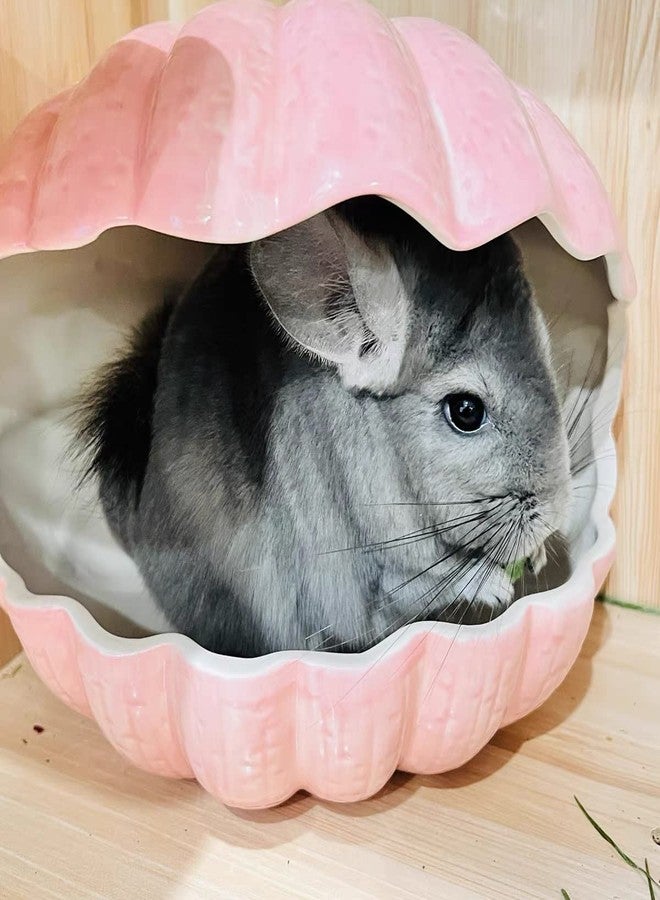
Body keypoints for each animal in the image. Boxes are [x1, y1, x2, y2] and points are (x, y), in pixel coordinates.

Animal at [76, 196, 572, 657]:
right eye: (466, 410)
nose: (553, 516)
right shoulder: (350, 591)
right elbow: (410, 589)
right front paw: (492, 583)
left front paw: (535, 556)